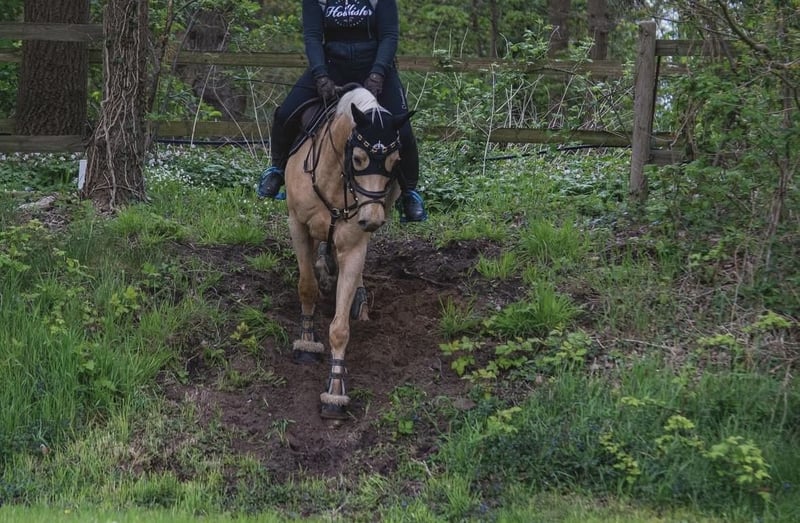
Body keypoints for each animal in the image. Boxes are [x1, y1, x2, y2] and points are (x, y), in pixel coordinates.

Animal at [283, 85, 412, 419]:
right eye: (358, 157)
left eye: (396, 161)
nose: (373, 218)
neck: (334, 177)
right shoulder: (297, 226)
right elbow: (307, 288)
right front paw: (306, 343)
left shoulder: (354, 244)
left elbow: (340, 328)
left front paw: (335, 392)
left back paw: (356, 293)